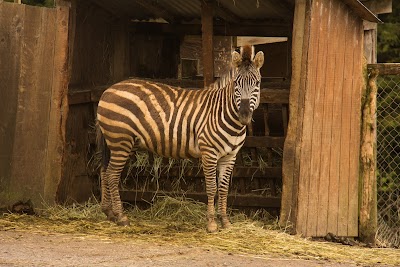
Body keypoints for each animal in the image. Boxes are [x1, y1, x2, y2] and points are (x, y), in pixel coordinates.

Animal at [96, 45, 264, 233]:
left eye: (257, 83)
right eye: (236, 83)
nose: (244, 116)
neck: (222, 112)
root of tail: (108, 90)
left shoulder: (230, 156)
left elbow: (223, 189)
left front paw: (225, 222)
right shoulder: (209, 153)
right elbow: (212, 188)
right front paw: (212, 223)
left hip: (117, 142)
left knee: (104, 171)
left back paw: (109, 212)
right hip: (120, 141)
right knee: (112, 174)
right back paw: (121, 216)